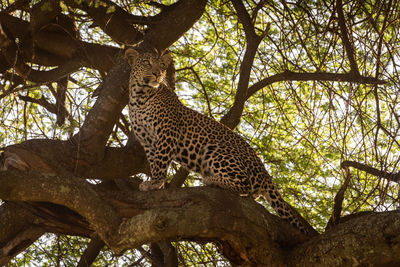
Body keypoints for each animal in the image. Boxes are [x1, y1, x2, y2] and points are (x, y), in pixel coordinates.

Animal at [126, 47, 318, 237]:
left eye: (163, 65)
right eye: (147, 63)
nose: (157, 74)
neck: (139, 97)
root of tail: (266, 176)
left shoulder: (167, 133)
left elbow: (160, 161)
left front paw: (155, 183)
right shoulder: (147, 142)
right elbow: (153, 161)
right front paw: (154, 183)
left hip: (216, 149)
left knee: (244, 185)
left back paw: (211, 180)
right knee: (252, 194)